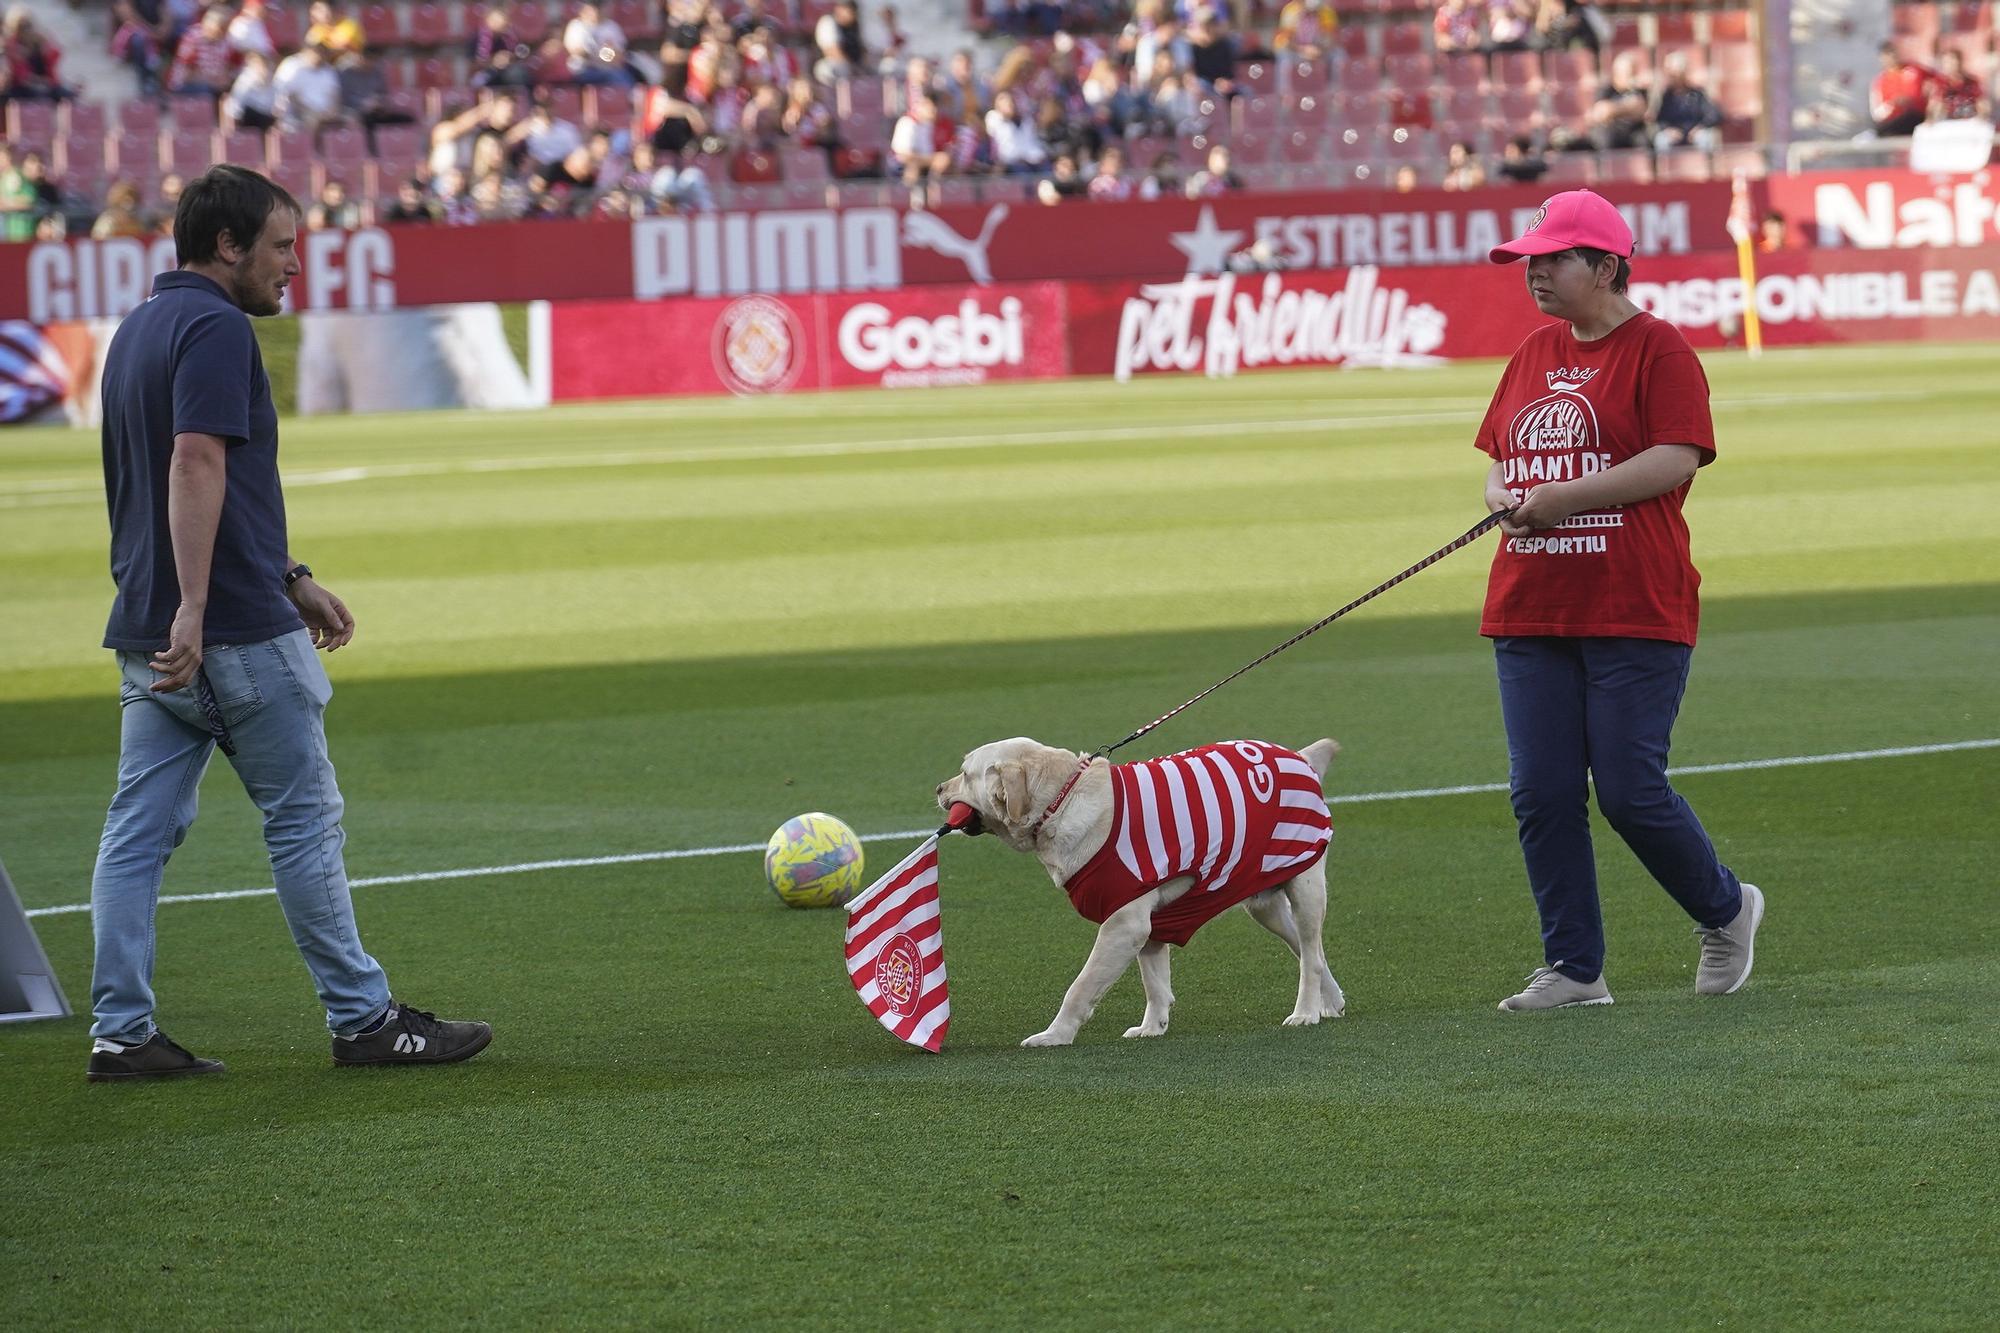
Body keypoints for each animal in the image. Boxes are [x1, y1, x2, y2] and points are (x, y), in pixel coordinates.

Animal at [936, 732, 1344, 1040]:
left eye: (965, 773)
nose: (938, 787)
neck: (1060, 800)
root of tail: (1298, 757)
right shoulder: (1148, 923)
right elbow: (1154, 982)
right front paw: (1153, 1027)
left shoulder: (1124, 924)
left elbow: (1080, 988)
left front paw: (1055, 1035)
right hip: (1265, 904)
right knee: (1312, 952)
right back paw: (1332, 1001)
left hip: (1306, 886)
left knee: (1310, 955)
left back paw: (1306, 1011)